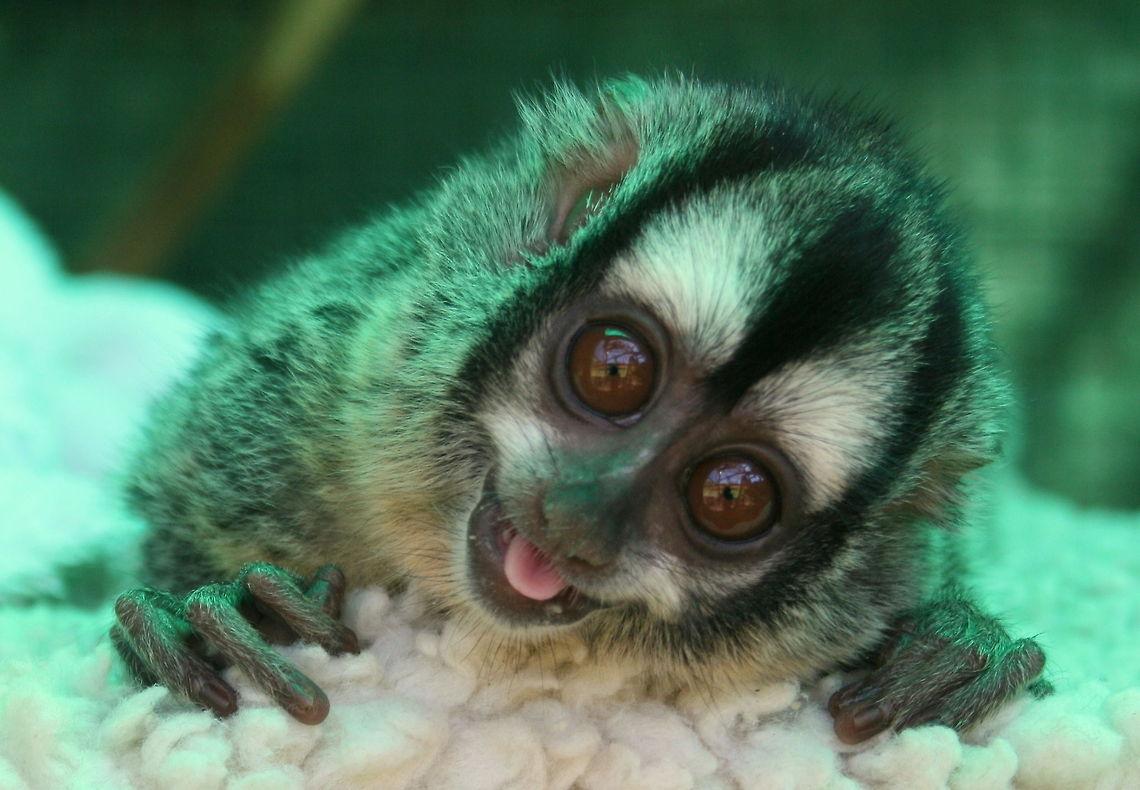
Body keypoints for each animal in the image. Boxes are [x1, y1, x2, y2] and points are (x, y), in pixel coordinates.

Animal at [111, 75, 1049, 745]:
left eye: (732, 495)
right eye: (614, 369)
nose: (580, 517)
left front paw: (953, 650)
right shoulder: (319, 380)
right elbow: (175, 493)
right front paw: (220, 614)